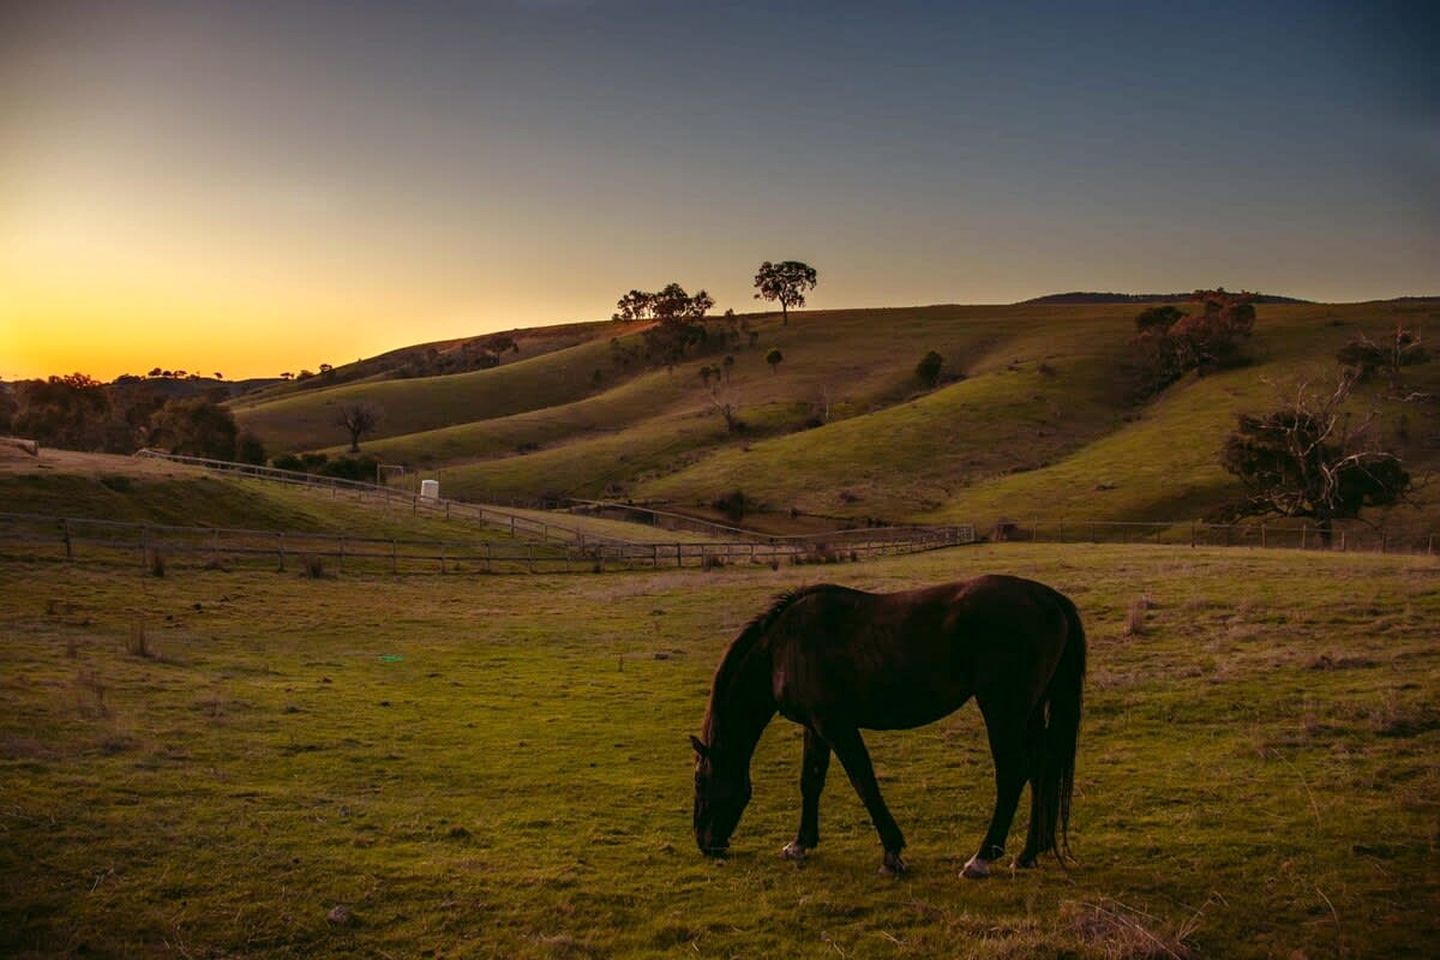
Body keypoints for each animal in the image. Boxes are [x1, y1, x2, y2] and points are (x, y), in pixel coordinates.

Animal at [689, 574, 1085, 878]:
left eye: (699, 781)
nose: (705, 844)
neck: (781, 649)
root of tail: (1047, 597)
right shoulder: (815, 728)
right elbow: (810, 782)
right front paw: (800, 844)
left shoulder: (836, 725)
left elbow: (864, 781)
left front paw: (892, 854)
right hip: (1029, 711)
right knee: (1041, 769)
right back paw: (1028, 854)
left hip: (1004, 709)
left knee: (1014, 772)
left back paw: (982, 858)